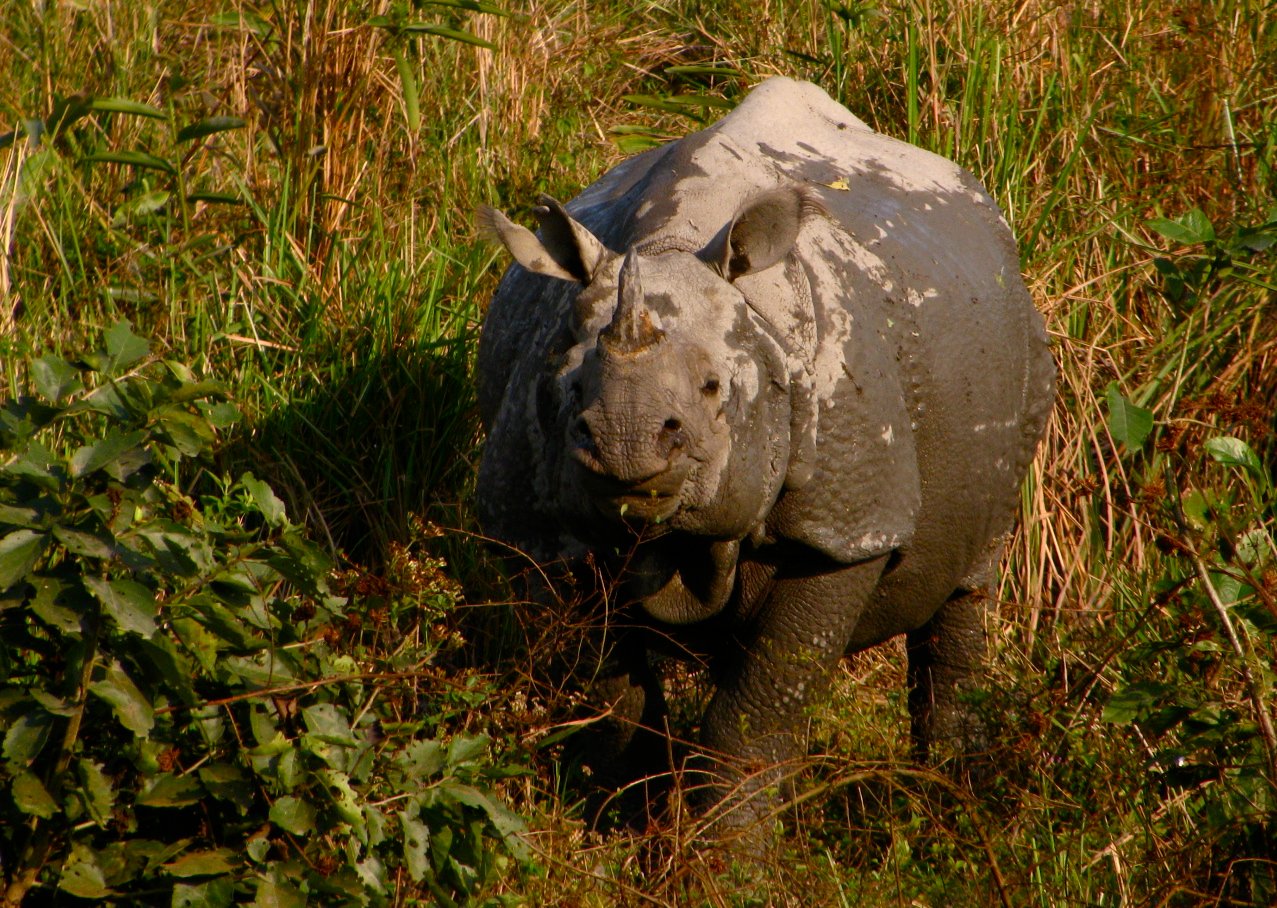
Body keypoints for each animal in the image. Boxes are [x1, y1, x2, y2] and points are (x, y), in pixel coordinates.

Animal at [476, 77, 1054, 835]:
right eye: (569, 389)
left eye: (713, 388)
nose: (625, 444)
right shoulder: (547, 532)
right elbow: (615, 704)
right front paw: (632, 834)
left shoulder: (844, 526)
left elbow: (753, 720)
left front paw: (725, 858)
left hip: (1022, 346)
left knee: (968, 585)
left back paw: (952, 804)